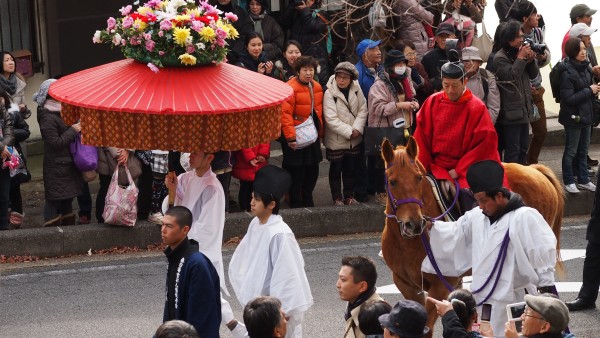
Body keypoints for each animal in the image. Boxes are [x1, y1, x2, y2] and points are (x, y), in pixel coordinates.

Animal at [382, 137, 564, 336]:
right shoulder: (405, 284)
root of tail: (535, 170)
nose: (414, 223)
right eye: (392, 181)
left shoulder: (440, 286)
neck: (409, 243)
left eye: (418, 177)